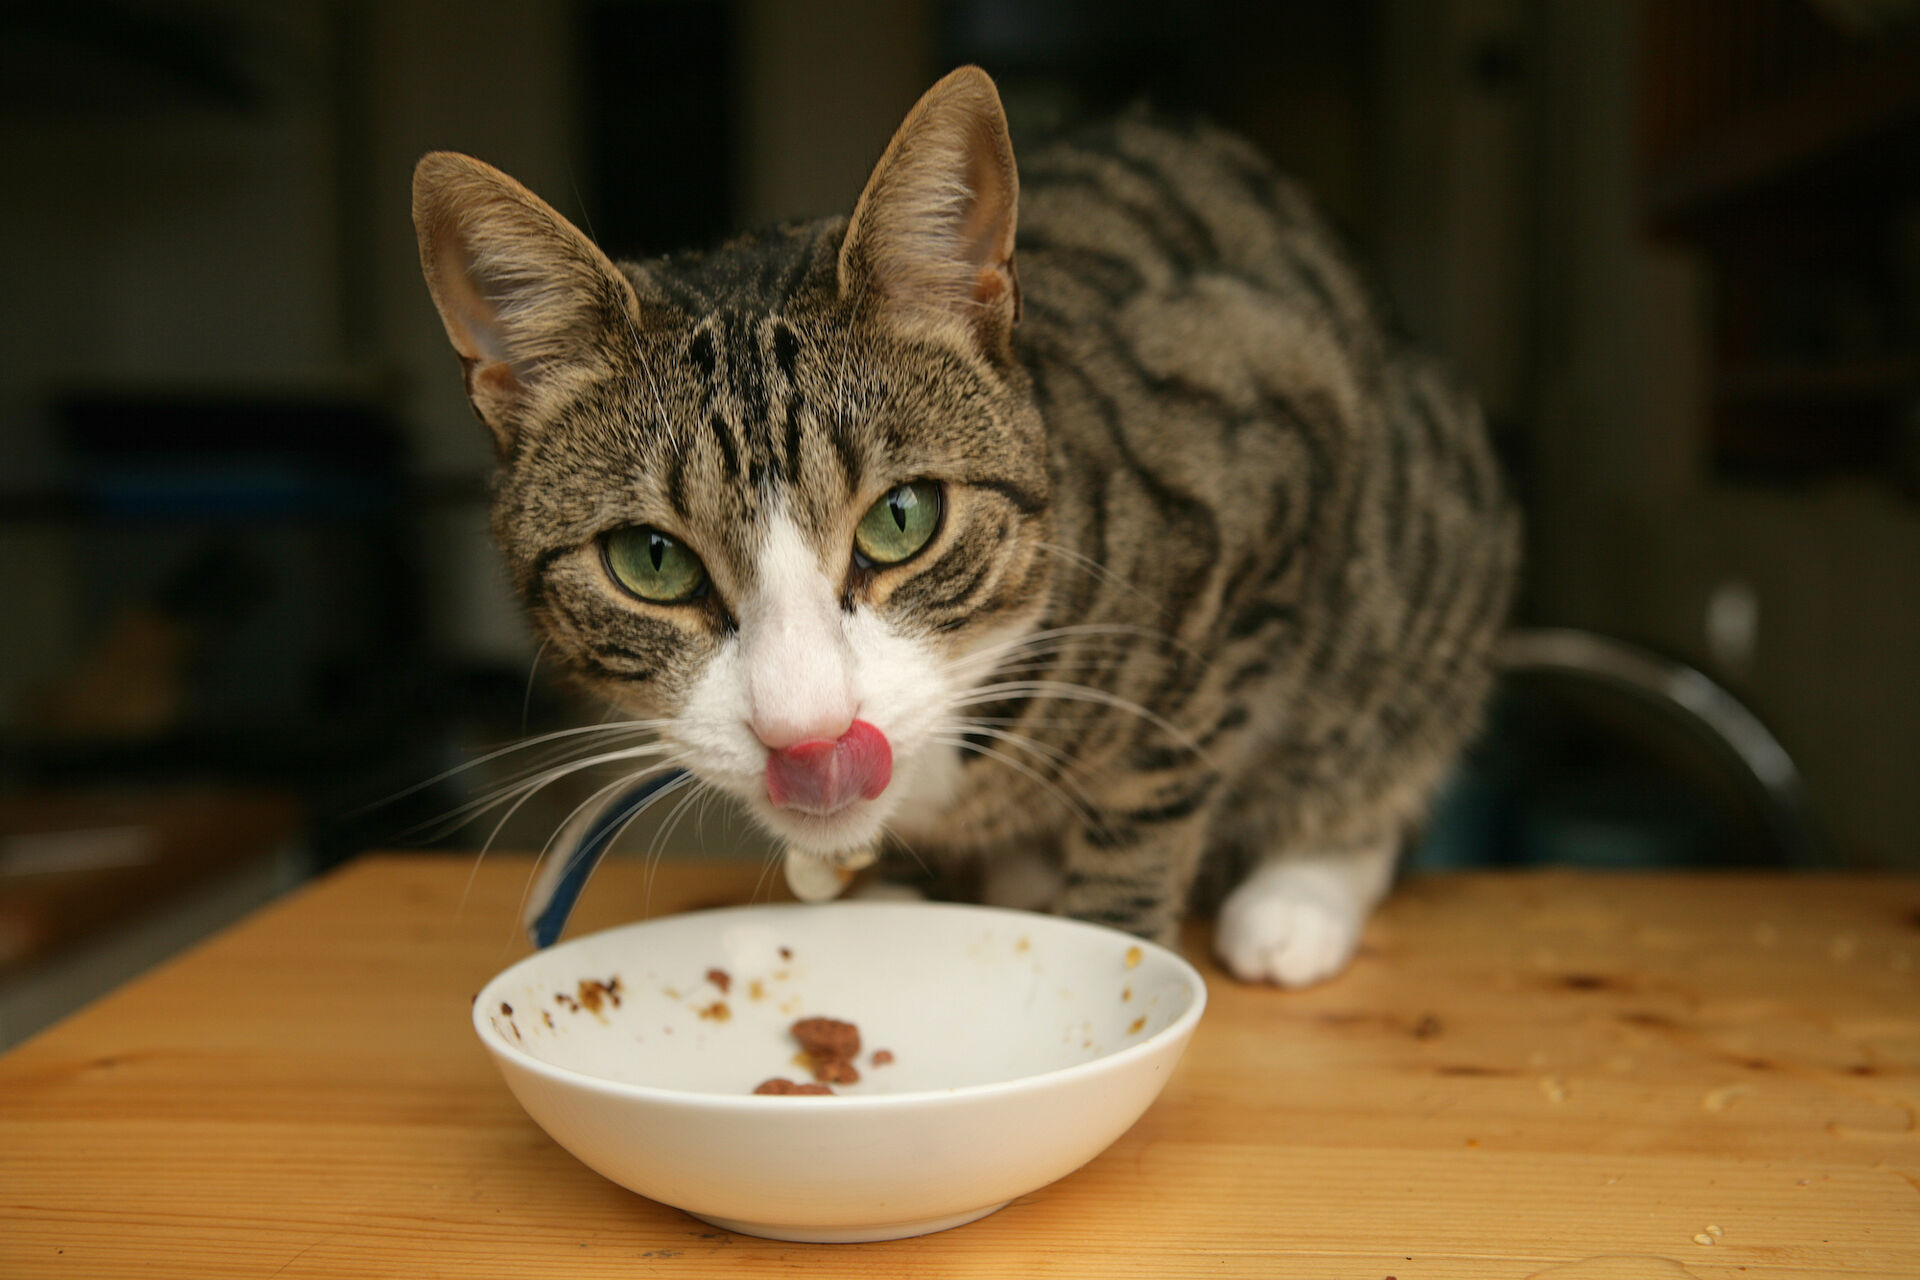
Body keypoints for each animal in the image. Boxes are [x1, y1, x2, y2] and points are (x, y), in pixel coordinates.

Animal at [412, 67, 1520, 990]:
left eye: (903, 518)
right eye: (651, 560)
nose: (807, 734)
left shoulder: (1267, 485)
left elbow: (1151, 793)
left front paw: (1114, 948)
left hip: (1428, 554)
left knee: (1379, 741)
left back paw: (1296, 902)